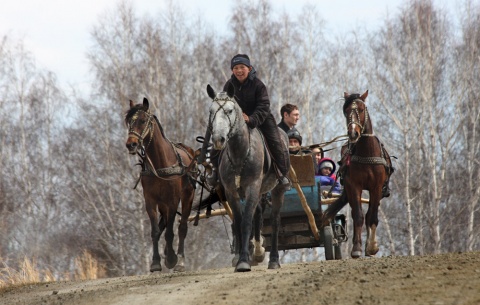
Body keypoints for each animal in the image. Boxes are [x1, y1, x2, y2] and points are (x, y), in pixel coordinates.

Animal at [125, 98, 199, 270]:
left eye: (142, 120)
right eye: (128, 122)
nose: (131, 144)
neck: (160, 164)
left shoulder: (172, 200)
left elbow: (170, 232)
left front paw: (172, 258)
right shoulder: (150, 201)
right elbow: (155, 231)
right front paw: (156, 262)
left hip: (187, 196)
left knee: (182, 227)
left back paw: (180, 259)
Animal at [206, 83, 288, 270]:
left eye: (229, 110)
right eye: (211, 111)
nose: (218, 139)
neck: (240, 153)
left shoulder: (252, 187)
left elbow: (246, 222)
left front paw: (243, 261)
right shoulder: (231, 191)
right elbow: (238, 221)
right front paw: (241, 257)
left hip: (277, 189)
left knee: (275, 220)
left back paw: (273, 260)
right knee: (258, 215)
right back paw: (258, 252)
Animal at [322, 89, 394, 256]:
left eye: (361, 109)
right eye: (346, 111)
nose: (353, 133)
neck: (367, 153)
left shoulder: (376, 187)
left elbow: (371, 216)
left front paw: (372, 247)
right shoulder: (354, 186)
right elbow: (358, 216)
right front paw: (356, 249)